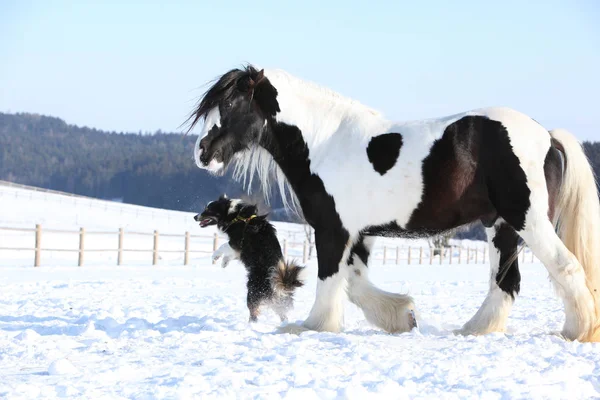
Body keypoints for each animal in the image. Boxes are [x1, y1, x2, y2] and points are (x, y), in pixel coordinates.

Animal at [185, 64, 600, 342]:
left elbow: (329, 281)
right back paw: (473, 330)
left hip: (527, 219)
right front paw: (402, 317)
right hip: (501, 226)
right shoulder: (360, 233)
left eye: (232, 105)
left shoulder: (333, 230)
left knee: (565, 267)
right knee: (506, 282)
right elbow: (354, 283)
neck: (325, 143)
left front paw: (311, 327)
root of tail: (548, 136)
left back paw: (577, 331)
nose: (202, 154)